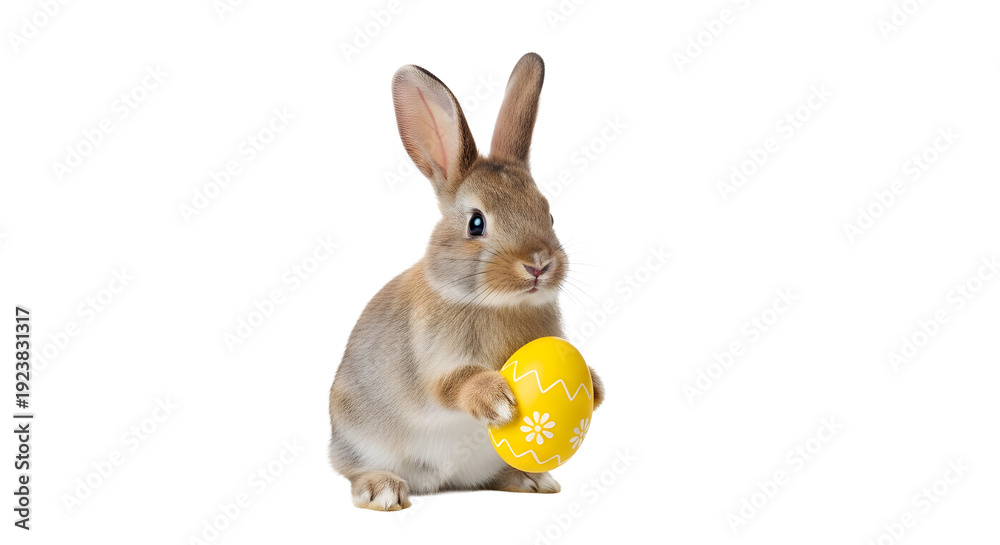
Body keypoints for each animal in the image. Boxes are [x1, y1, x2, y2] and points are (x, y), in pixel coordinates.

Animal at [328, 52, 605, 511]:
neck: (498, 303)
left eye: (548, 215)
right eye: (477, 223)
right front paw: (499, 401)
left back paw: (531, 479)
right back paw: (383, 490)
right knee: (352, 471)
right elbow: (454, 384)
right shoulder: (436, 361)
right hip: (358, 436)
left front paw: (596, 388)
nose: (538, 264)